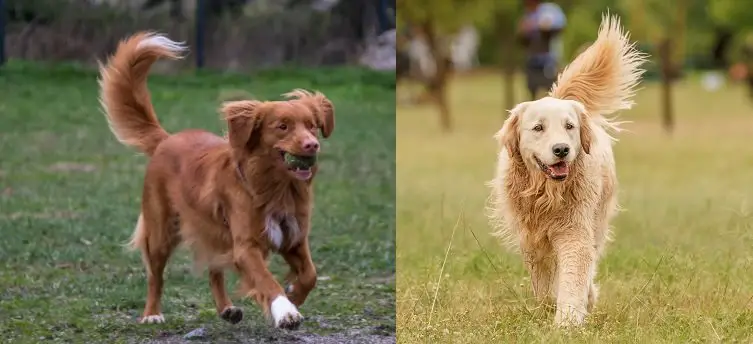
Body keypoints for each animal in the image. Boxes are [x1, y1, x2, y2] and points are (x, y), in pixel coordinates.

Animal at [98, 33, 334, 330]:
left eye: (312, 125)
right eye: (282, 126)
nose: (312, 144)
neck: (275, 188)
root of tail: (166, 139)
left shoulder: (293, 239)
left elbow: (310, 274)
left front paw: (294, 295)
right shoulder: (246, 246)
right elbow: (267, 280)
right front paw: (285, 310)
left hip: (216, 233)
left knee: (214, 271)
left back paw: (226, 308)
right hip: (161, 230)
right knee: (155, 276)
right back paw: (152, 313)